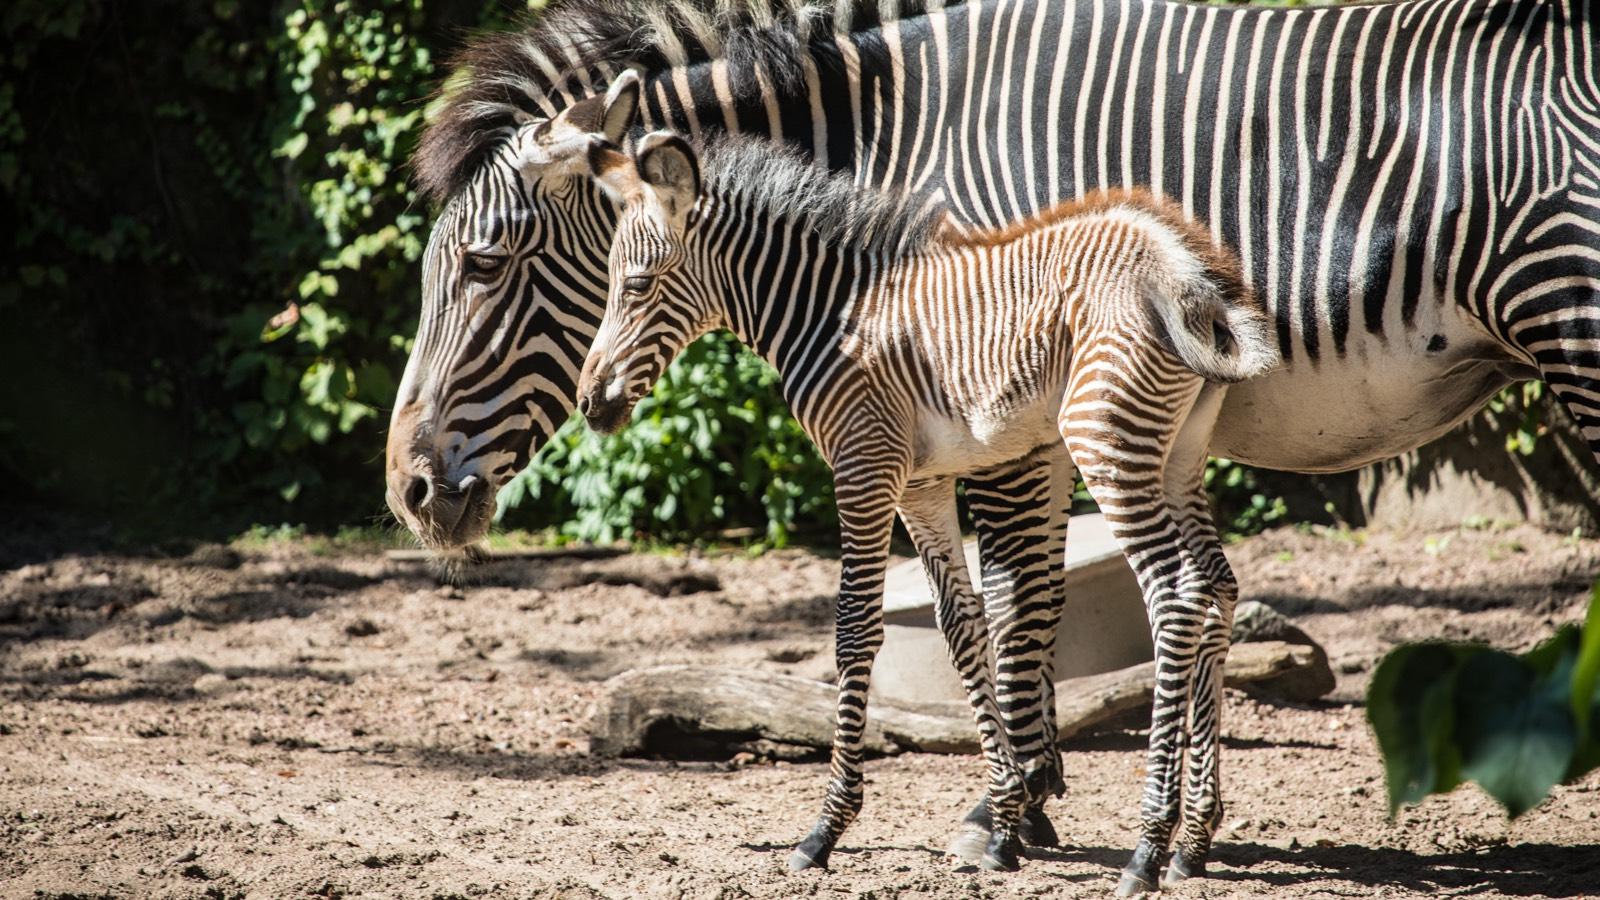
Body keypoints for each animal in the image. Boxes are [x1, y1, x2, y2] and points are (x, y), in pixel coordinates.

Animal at [572, 131, 1273, 877]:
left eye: (635, 285)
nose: (589, 404)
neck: (827, 314)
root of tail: (1183, 271)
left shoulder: (863, 467)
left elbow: (855, 629)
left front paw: (827, 829)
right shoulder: (921, 484)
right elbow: (960, 624)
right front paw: (1003, 822)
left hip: (1105, 442)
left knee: (1174, 597)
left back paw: (1148, 845)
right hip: (1177, 455)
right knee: (1216, 589)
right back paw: (1193, 839)